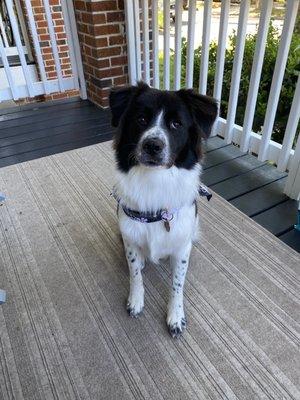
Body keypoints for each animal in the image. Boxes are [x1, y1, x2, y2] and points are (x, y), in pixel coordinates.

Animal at [109, 83, 217, 340]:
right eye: (140, 119)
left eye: (176, 124)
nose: (152, 146)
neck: (155, 182)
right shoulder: (130, 238)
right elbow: (134, 273)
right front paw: (136, 301)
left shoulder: (181, 246)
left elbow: (177, 284)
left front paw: (175, 317)